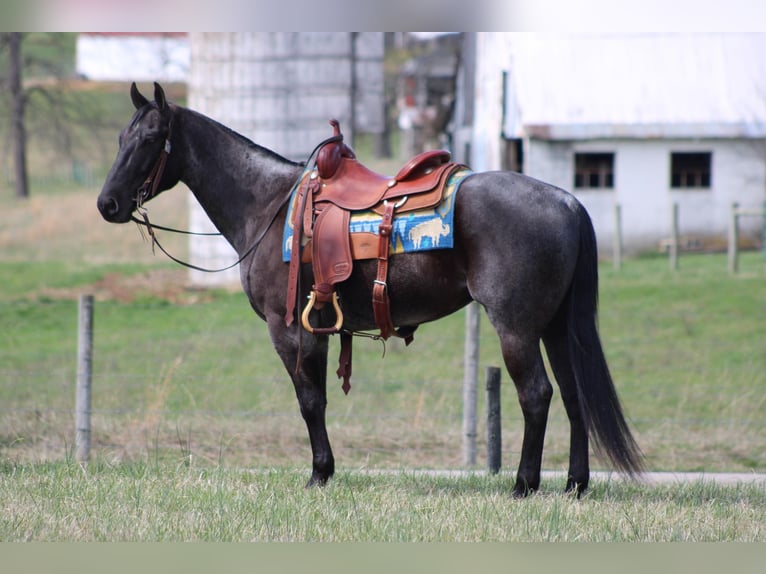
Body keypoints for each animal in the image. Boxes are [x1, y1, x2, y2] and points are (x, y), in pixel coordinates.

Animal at [99, 82, 644, 500]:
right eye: (122, 136)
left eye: (151, 138)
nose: (108, 204)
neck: (270, 205)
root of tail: (567, 201)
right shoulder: (317, 327)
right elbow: (317, 397)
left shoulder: (289, 328)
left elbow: (309, 400)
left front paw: (319, 474)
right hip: (554, 327)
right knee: (573, 396)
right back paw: (574, 484)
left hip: (516, 327)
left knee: (537, 395)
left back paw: (523, 485)